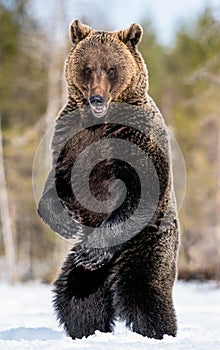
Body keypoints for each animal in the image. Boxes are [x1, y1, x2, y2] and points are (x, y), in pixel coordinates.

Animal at [37, 19, 179, 340]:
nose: (96, 97)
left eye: (112, 69)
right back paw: (86, 331)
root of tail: (112, 268)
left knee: (145, 294)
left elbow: (140, 190)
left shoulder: (136, 140)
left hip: (148, 243)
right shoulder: (70, 140)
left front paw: (92, 251)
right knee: (76, 297)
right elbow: (59, 180)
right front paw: (61, 219)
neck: (100, 122)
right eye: (88, 68)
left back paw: (160, 332)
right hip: (83, 272)